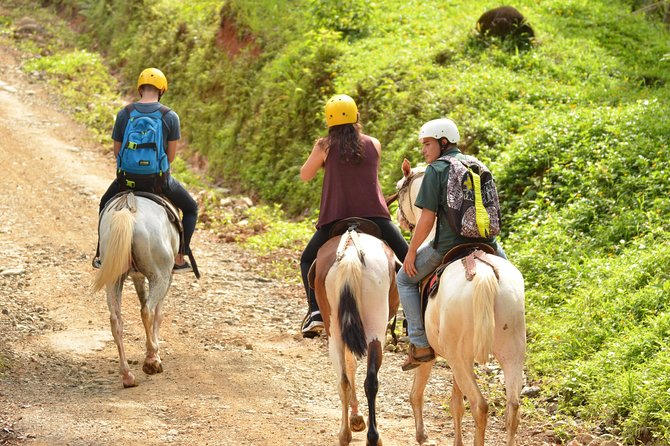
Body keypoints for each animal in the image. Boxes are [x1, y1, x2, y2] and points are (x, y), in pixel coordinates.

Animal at [93, 193, 181, 388]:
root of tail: (128, 208)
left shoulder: (137, 276)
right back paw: (151, 360)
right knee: (147, 311)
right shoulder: (167, 277)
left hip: (113, 278)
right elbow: (158, 314)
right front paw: (156, 353)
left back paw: (127, 376)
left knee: (116, 321)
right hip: (160, 275)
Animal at [314, 220, 402, 446]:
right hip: (375, 329)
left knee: (344, 379)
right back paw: (371, 436)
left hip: (335, 333)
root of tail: (351, 255)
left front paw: (355, 417)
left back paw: (345, 434)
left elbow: (350, 365)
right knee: (370, 379)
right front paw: (357, 417)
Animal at [396, 160, 528, 446]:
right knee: (512, 407)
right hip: (511, 352)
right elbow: (456, 403)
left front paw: (421, 434)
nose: (399, 219)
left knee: (480, 406)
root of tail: (485, 274)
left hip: (460, 358)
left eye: (399, 189)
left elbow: (417, 392)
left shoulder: (431, 354)